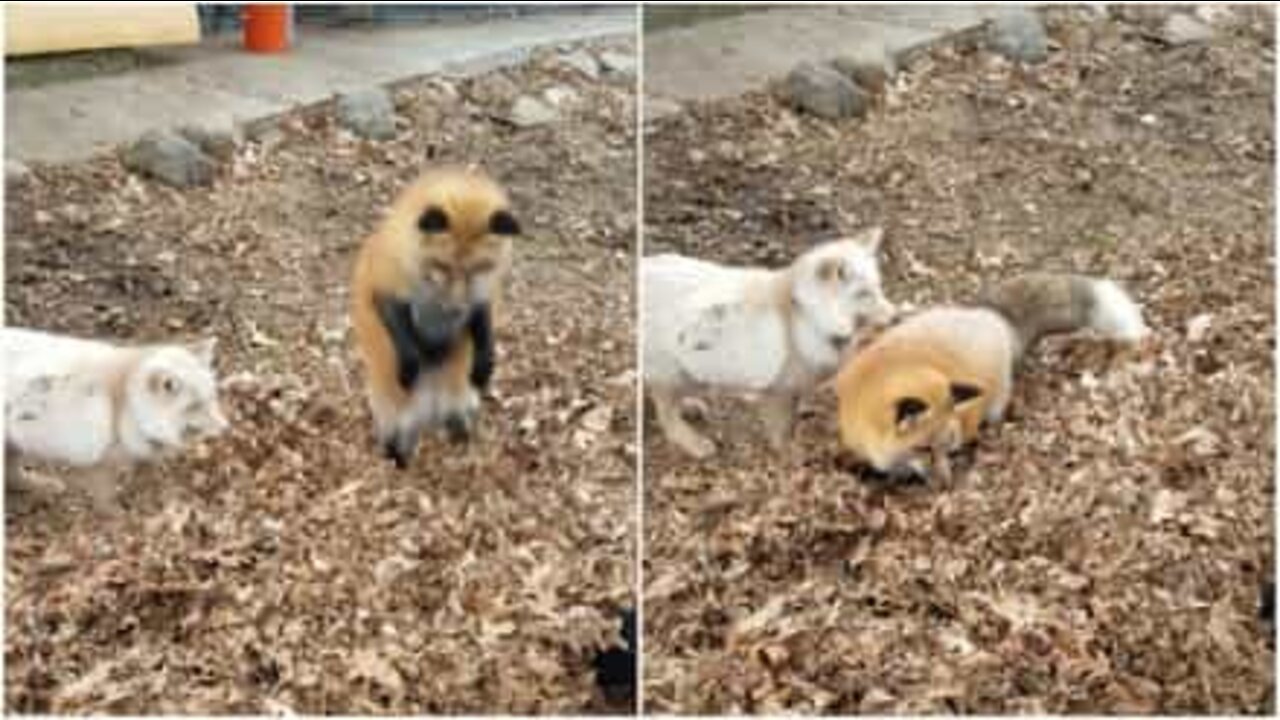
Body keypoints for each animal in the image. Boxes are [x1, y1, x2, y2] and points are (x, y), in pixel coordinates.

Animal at [3, 327, 230, 507]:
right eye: (194, 406)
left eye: (212, 397)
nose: (227, 428)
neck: (124, 408)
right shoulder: (97, 466)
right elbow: (107, 505)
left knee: (12, 476)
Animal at [350, 166, 519, 468]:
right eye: (443, 266)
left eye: (478, 268)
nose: (455, 308)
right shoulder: (384, 287)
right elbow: (404, 339)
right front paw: (409, 368)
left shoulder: (481, 296)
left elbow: (483, 325)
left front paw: (486, 364)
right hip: (394, 417)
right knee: (393, 443)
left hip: (458, 401)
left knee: (458, 423)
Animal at [645, 226, 896, 456]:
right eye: (863, 294)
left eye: (879, 287)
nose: (897, 317)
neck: (807, 318)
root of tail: (646, 264)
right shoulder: (778, 391)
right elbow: (783, 433)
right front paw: (790, 457)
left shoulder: (792, 391)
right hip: (674, 375)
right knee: (664, 413)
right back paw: (692, 442)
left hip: (690, 374)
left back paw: (689, 406)